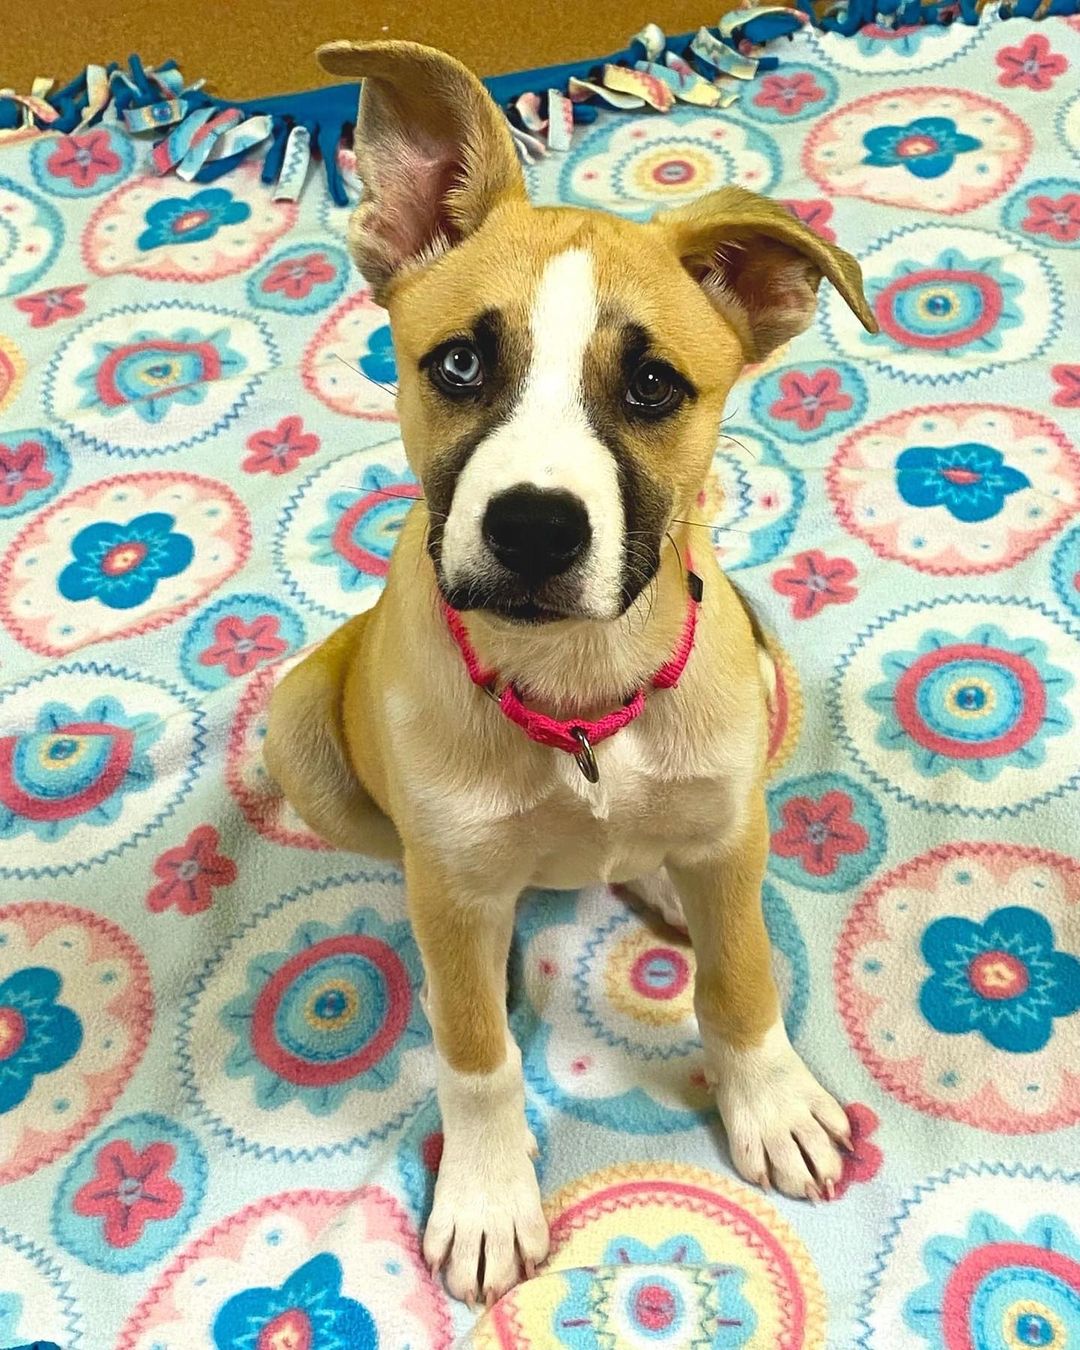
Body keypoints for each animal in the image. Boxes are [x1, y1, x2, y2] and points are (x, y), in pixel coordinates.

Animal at [265, 39, 880, 1306]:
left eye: (653, 388)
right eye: (458, 363)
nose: (535, 529)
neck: (581, 690)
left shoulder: (724, 815)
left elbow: (743, 981)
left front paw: (771, 1102)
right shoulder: (450, 884)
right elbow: (475, 1059)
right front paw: (487, 1194)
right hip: (301, 723)